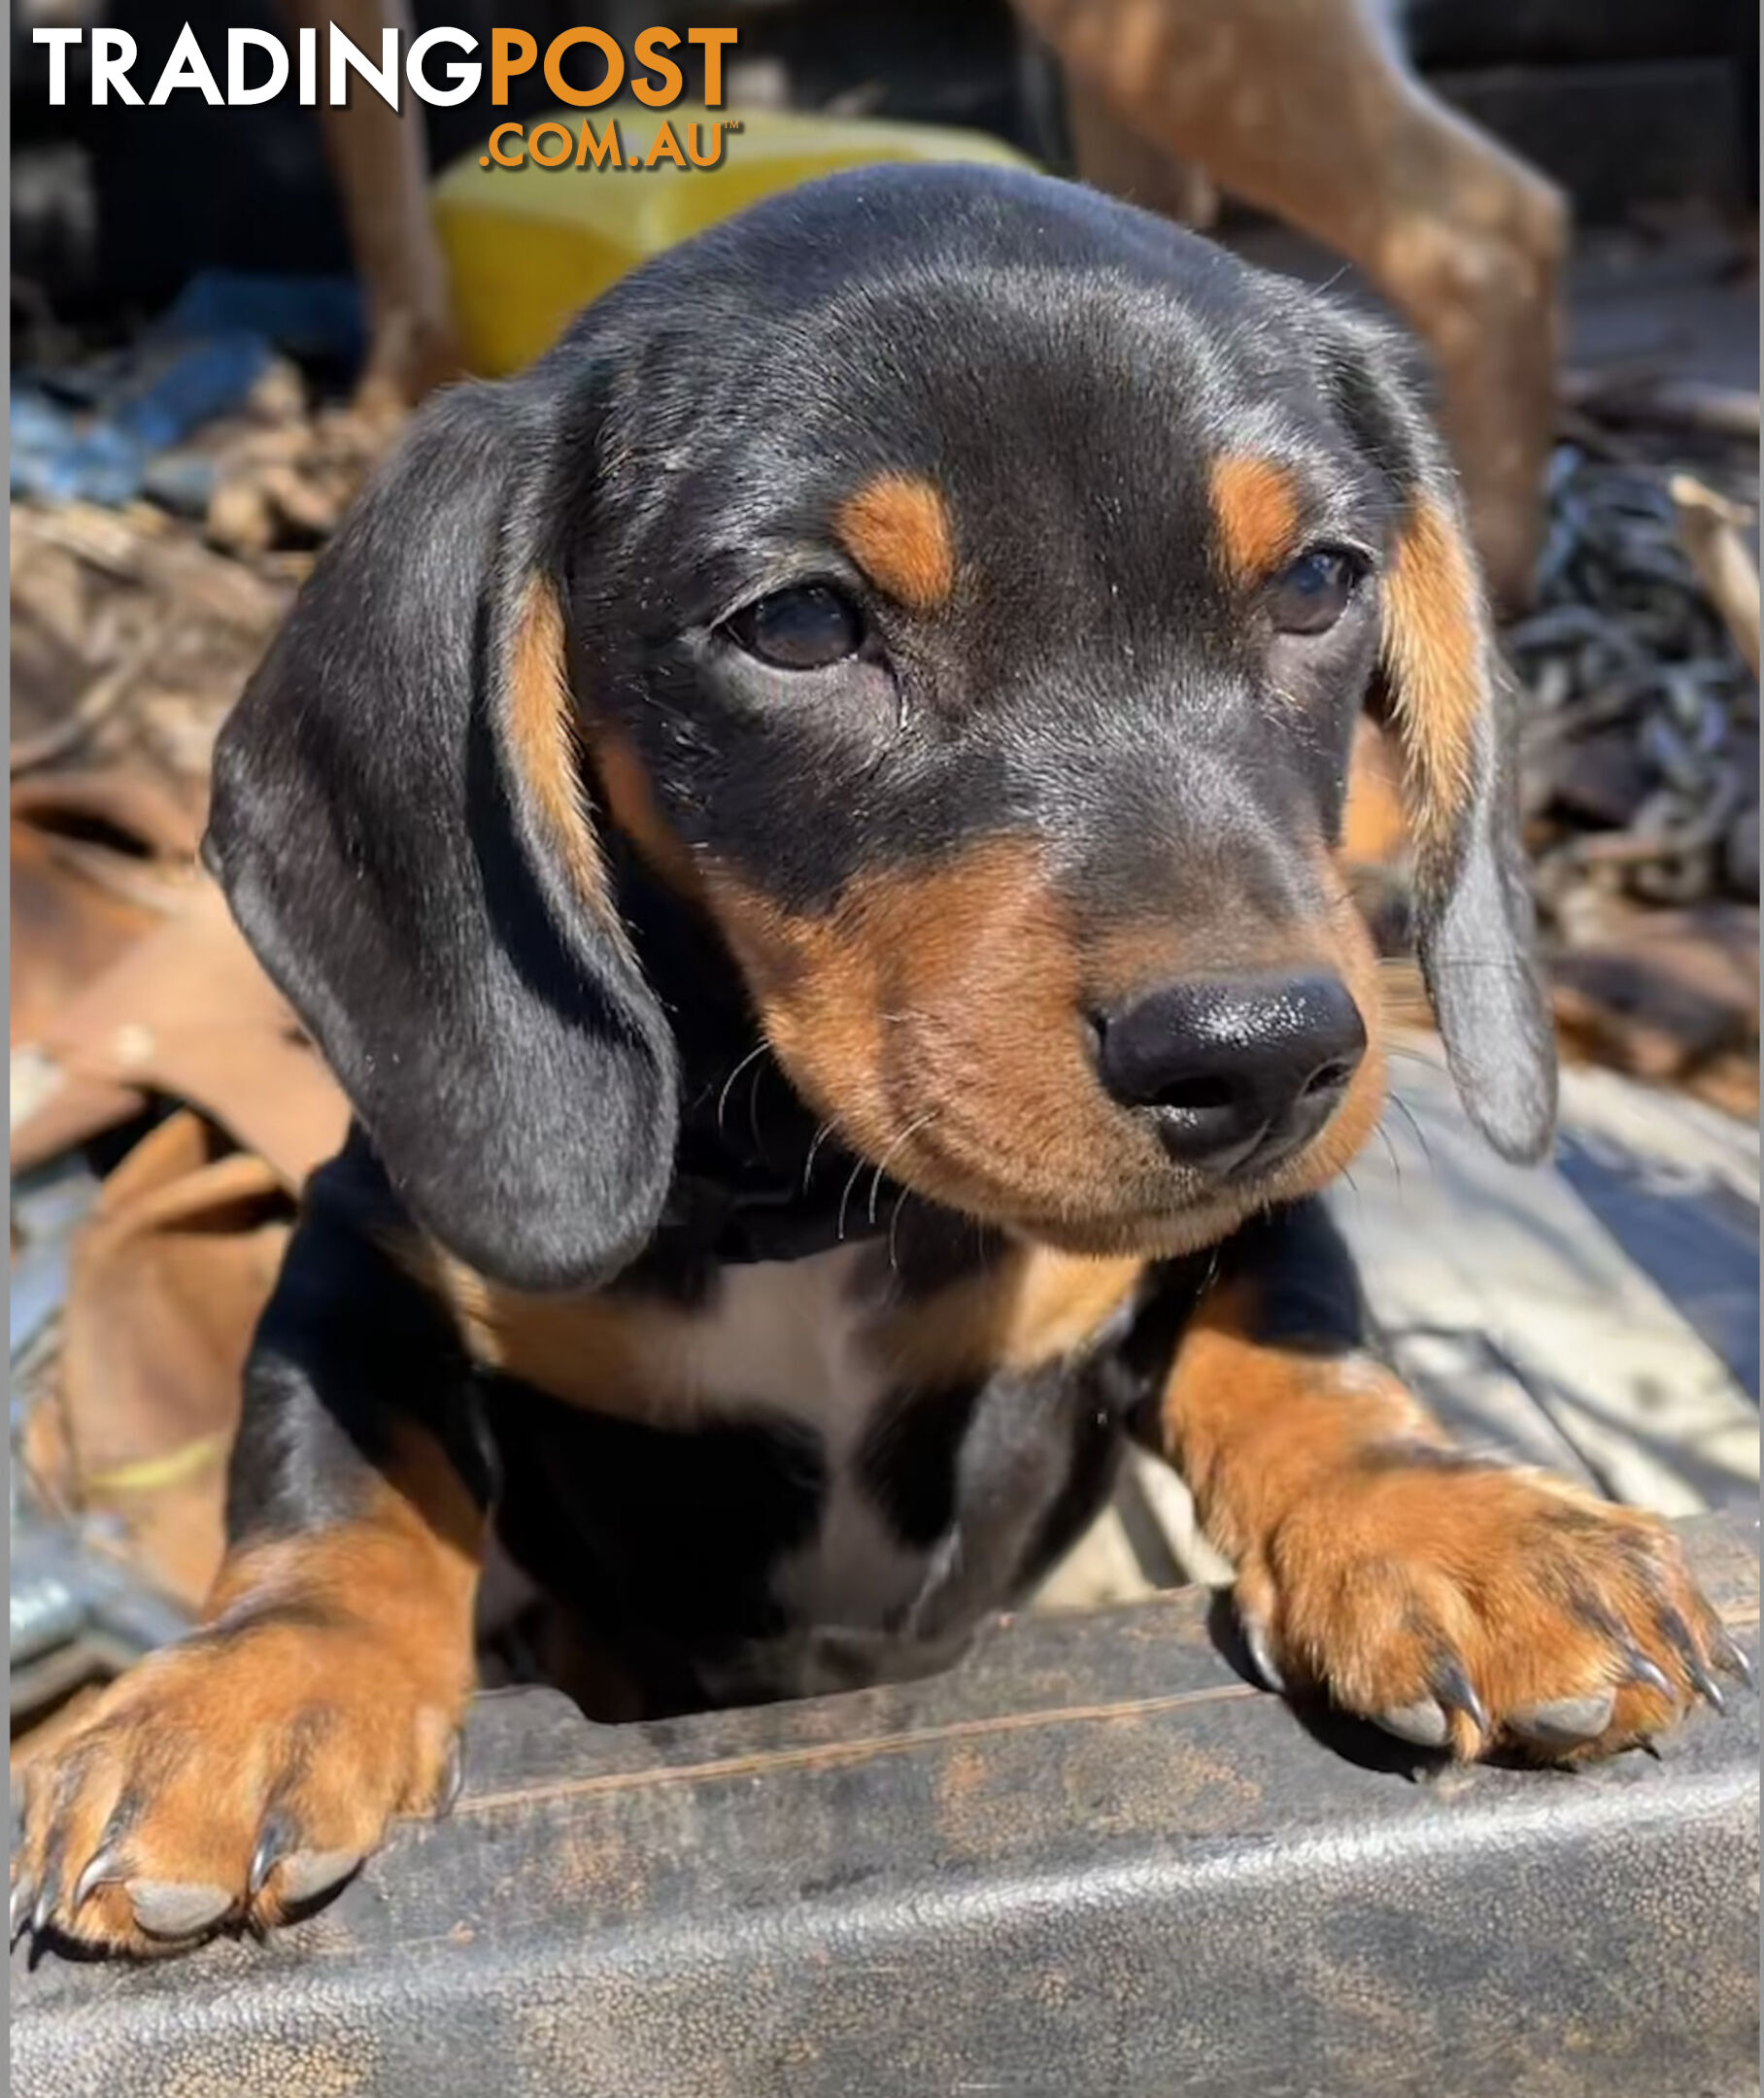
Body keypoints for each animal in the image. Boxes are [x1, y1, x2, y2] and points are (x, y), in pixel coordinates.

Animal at [14, 163, 1736, 1946]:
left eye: (1324, 582)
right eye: (798, 625)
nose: (1263, 1059)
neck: (808, 1202)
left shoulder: (1235, 1231)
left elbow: (1302, 1340)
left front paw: (1452, 1516)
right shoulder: (368, 1238)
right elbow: (332, 1468)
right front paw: (253, 1687)